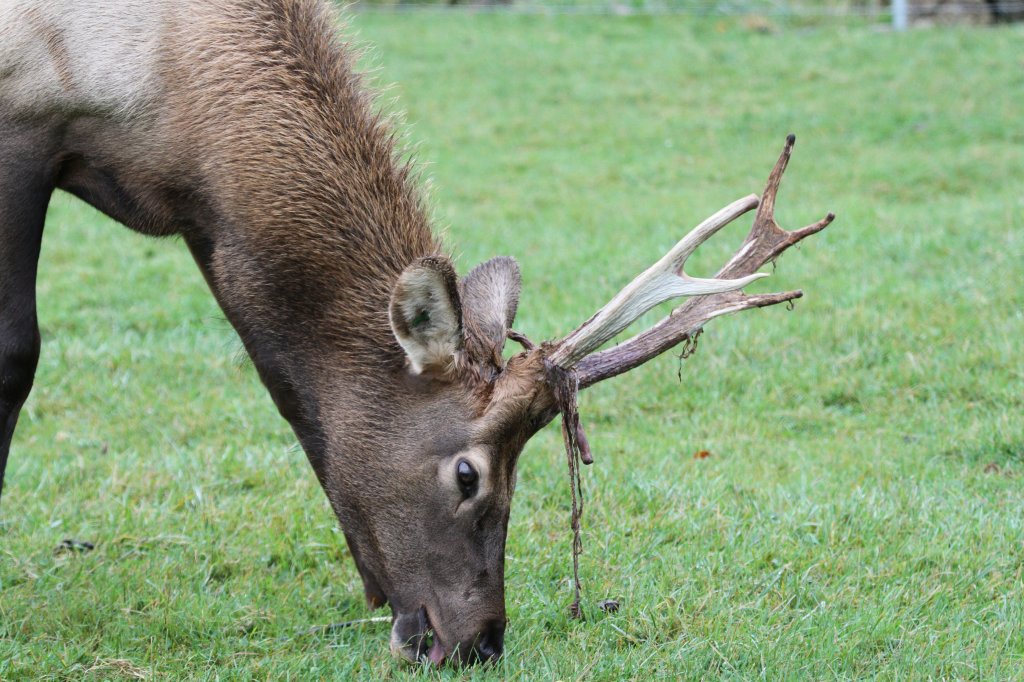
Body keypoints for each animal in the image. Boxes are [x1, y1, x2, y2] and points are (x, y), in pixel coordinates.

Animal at [0, 0, 831, 663]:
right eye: (468, 475)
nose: (481, 641)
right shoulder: (23, 117)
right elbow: (18, 352)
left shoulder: (214, 228)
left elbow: (292, 387)